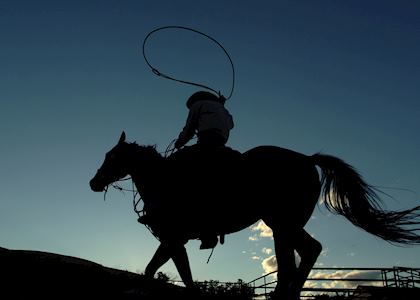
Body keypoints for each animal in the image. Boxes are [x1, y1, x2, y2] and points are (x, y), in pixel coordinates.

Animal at [89, 132, 420, 298]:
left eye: (111, 156)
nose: (94, 183)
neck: (164, 180)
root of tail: (307, 159)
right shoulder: (174, 240)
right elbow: (163, 271)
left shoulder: (174, 237)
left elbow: (172, 273)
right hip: (284, 223)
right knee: (305, 252)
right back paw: (286, 295)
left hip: (281, 221)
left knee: (297, 257)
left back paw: (282, 297)